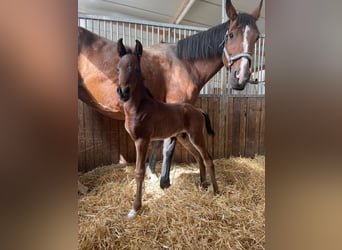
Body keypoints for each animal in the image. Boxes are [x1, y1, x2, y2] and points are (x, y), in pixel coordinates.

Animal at [78, 0, 264, 188]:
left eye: (256, 37)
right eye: (231, 35)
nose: (241, 77)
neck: (185, 64)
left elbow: (158, 143)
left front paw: (152, 173)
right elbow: (168, 147)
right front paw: (164, 182)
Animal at [117, 39, 219, 219]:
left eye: (136, 68)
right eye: (118, 68)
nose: (123, 92)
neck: (139, 108)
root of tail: (198, 110)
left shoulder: (142, 140)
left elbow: (139, 172)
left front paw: (135, 208)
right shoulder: (138, 140)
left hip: (196, 136)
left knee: (207, 159)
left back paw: (216, 191)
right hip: (183, 137)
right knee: (198, 157)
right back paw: (203, 184)